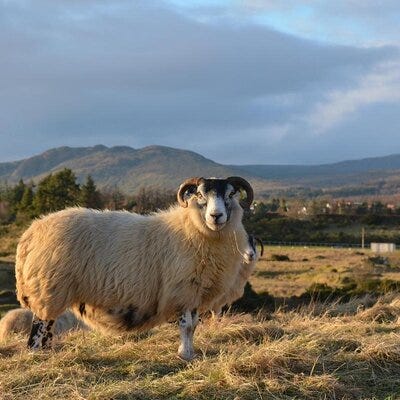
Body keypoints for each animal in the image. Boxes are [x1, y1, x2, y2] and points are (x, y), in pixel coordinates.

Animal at [16, 176, 253, 360]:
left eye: (231, 194)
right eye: (200, 195)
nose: (216, 216)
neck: (191, 228)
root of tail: (31, 232)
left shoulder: (194, 292)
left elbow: (194, 325)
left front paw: (190, 353)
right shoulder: (183, 289)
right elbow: (186, 325)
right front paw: (184, 355)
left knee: (47, 328)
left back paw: (47, 354)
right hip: (48, 288)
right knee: (39, 328)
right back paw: (36, 354)